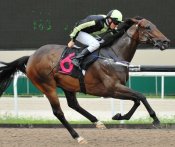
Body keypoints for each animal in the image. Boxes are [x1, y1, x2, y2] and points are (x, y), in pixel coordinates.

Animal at [0, 17, 170, 144]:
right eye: (148, 27)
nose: (166, 41)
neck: (113, 55)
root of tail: (31, 57)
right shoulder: (112, 88)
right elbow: (141, 96)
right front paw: (155, 120)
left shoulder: (118, 88)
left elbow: (137, 100)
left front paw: (119, 116)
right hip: (47, 86)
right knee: (58, 112)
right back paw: (78, 136)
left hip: (67, 85)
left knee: (73, 104)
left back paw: (97, 122)